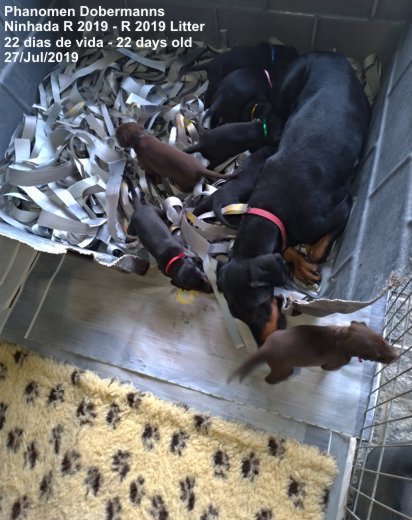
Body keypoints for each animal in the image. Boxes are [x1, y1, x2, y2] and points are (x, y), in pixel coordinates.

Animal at [217, 51, 371, 344]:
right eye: (236, 315)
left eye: (257, 307)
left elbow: (317, 250)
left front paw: (308, 259)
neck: (271, 208)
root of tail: (328, 53)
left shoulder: (343, 207)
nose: (264, 348)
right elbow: (285, 246)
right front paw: (298, 263)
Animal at [229, 321, 400, 384]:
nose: (397, 355)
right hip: (282, 367)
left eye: (383, 339)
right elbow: (335, 365)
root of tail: (265, 348)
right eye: (376, 356)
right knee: (273, 377)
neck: (340, 336)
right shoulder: (337, 360)